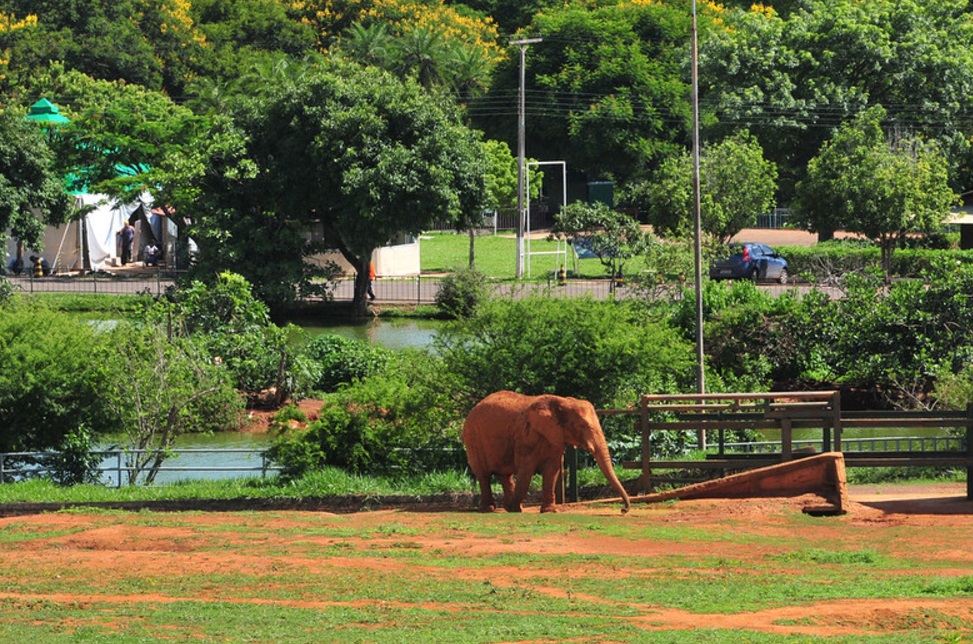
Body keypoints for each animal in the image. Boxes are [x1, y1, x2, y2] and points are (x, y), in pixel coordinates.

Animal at [462, 390, 636, 516]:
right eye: (582, 426)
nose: (623, 510)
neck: (563, 402)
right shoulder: (526, 436)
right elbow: (526, 471)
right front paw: (515, 509)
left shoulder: (555, 439)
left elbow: (552, 471)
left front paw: (549, 511)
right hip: (473, 439)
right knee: (483, 474)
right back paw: (491, 509)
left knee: (505, 476)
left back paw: (508, 507)